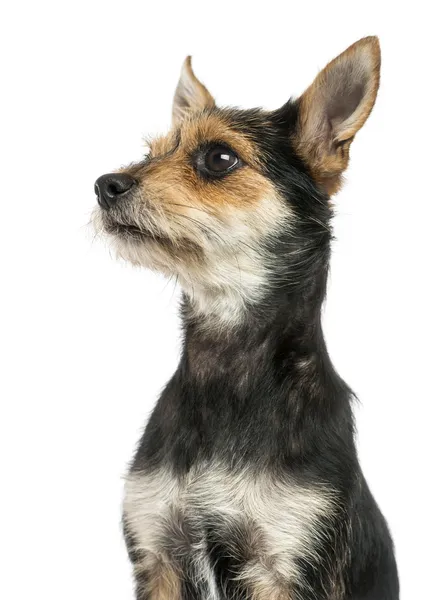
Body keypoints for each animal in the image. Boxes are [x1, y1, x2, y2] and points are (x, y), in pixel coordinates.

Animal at [93, 36, 400, 600]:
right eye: (150, 154)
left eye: (219, 158)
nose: (105, 184)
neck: (227, 367)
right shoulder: (158, 552)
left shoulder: (287, 560)